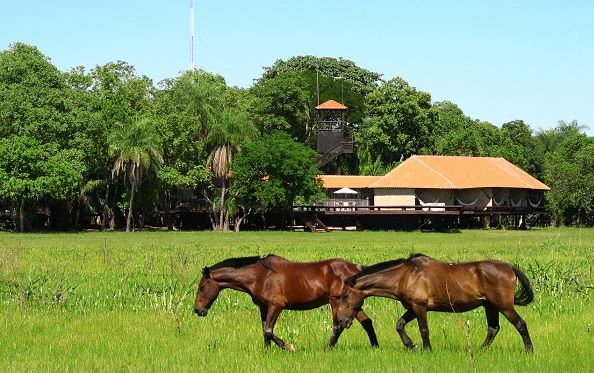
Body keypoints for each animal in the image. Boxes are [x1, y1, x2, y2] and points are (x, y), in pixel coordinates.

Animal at [194, 254, 380, 350]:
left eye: (202, 286)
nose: (197, 310)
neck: (259, 276)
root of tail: (355, 269)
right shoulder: (263, 307)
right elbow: (264, 331)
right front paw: (267, 352)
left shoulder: (276, 306)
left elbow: (269, 330)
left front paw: (289, 347)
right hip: (352, 305)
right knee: (366, 322)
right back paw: (375, 347)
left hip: (336, 303)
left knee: (338, 326)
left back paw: (327, 348)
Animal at [336, 253, 536, 352]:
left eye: (345, 295)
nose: (341, 322)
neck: (404, 276)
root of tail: (509, 267)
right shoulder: (412, 308)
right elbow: (399, 325)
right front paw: (411, 345)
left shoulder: (420, 307)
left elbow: (424, 330)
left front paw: (427, 349)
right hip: (490, 306)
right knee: (493, 329)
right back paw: (480, 351)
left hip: (504, 306)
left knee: (521, 324)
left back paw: (529, 350)